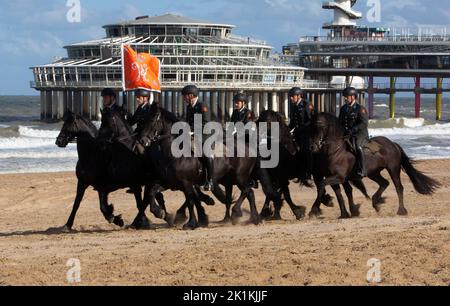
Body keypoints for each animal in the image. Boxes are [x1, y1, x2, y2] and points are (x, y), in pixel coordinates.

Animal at [310, 112, 440, 218]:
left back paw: (401, 210)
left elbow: (322, 185)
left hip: (393, 169)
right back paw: (376, 202)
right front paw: (345, 213)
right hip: (373, 173)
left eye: (320, 126)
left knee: (398, 187)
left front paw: (314, 210)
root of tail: (392, 144)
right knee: (384, 183)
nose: (312, 147)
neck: (336, 150)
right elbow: (339, 194)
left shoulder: (339, 177)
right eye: (312, 127)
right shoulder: (336, 178)